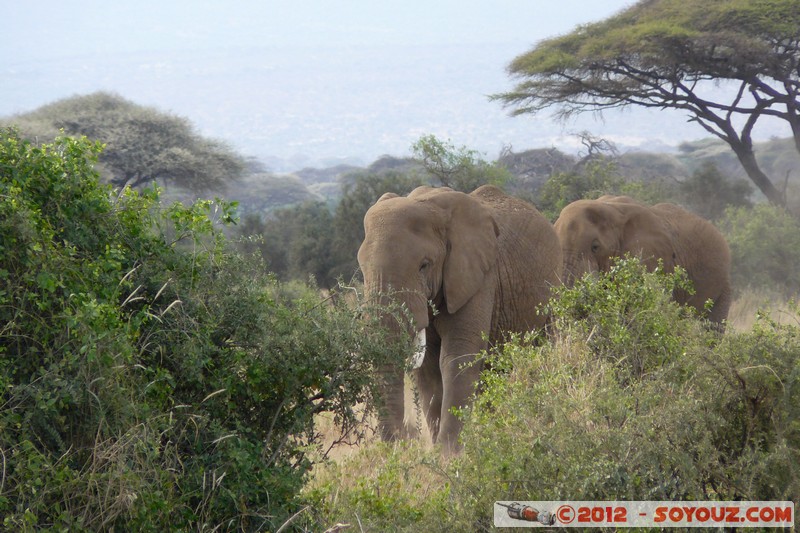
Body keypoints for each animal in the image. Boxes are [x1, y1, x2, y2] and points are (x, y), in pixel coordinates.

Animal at [358, 184, 564, 454]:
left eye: (424, 265)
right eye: (362, 269)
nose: (401, 446)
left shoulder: (478, 276)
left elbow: (456, 357)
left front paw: (448, 456)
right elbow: (427, 369)